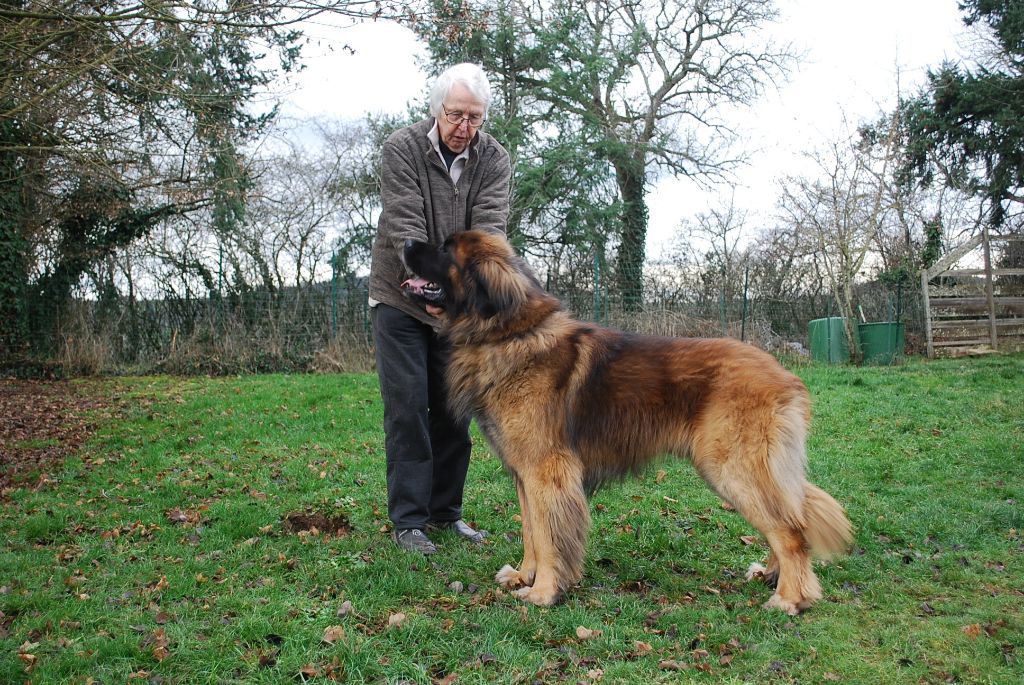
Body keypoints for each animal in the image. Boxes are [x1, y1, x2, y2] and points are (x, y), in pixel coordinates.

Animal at [403, 231, 851, 614]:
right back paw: (770, 574)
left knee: (790, 531)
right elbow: (531, 530)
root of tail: (786, 376)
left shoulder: (547, 470)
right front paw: (523, 575)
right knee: (788, 520)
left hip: (732, 467)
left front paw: (544, 591)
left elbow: (549, 537)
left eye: (445, 248)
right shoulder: (524, 473)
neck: (508, 332)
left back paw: (790, 597)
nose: (404, 242)